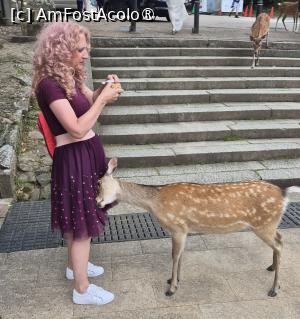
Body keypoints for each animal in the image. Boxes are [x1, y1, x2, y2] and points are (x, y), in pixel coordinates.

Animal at [95, 159, 300, 298]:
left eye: (99, 183)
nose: (97, 202)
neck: (156, 203)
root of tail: (284, 194)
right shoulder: (183, 229)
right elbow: (180, 255)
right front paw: (174, 280)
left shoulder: (177, 227)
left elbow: (174, 256)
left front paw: (171, 289)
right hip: (270, 224)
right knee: (280, 240)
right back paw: (272, 267)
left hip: (263, 225)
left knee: (280, 245)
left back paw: (274, 289)